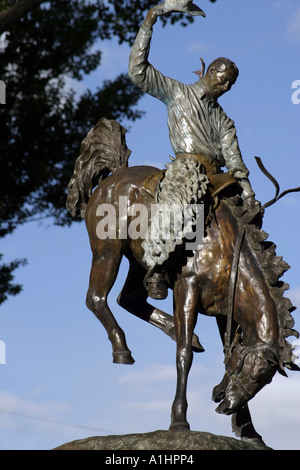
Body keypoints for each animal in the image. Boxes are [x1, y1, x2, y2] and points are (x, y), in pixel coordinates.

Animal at [67, 116, 298, 444]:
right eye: (251, 370)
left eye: (264, 381)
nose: (227, 404)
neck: (226, 249)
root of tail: (114, 175)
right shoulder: (186, 290)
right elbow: (183, 355)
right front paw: (179, 420)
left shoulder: (226, 311)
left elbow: (223, 352)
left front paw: (250, 431)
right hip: (107, 251)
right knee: (96, 298)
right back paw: (122, 349)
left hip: (138, 260)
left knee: (130, 299)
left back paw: (173, 329)